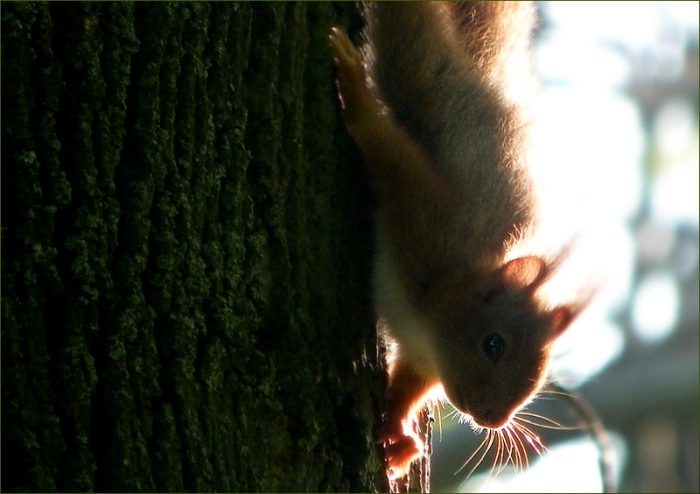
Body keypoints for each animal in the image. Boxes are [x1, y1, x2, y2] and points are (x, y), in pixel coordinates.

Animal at [329, 2, 586, 479]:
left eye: (541, 376)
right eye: (493, 344)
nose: (493, 420)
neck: (428, 322)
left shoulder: (422, 356)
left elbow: (408, 387)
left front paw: (398, 435)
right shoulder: (427, 217)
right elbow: (386, 149)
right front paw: (354, 95)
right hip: (416, 67)